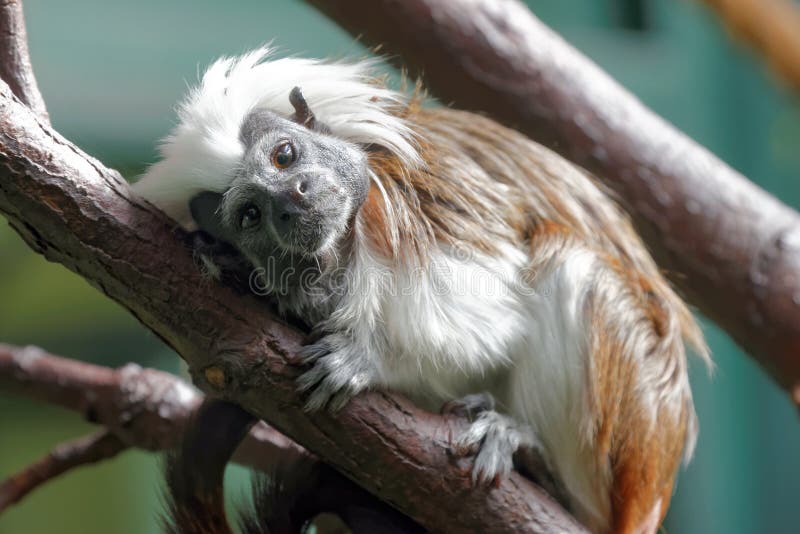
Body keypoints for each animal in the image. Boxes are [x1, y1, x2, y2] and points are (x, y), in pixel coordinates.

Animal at [134, 48, 708, 532]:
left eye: (284, 155)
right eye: (251, 214)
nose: (293, 198)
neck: (340, 252)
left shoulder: (411, 209)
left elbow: (488, 330)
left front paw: (368, 361)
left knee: (574, 266)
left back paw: (531, 455)